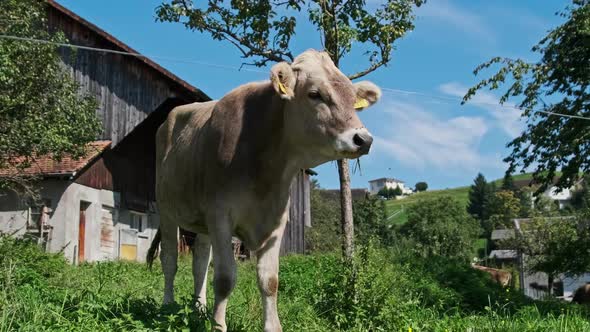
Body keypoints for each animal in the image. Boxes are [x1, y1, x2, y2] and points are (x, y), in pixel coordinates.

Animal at [147, 48, 380, 330]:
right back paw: (167, 306)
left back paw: (199, 309)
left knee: (200, 261)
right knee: (169, 259)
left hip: (202, 224)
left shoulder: (276, 222)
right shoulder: (220, 215)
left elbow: (270, 281)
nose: (364, 139)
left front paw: (272, 326)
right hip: (166, 210)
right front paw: (218, 325)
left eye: (352, 98)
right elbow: (224, 278)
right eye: (315, 94)